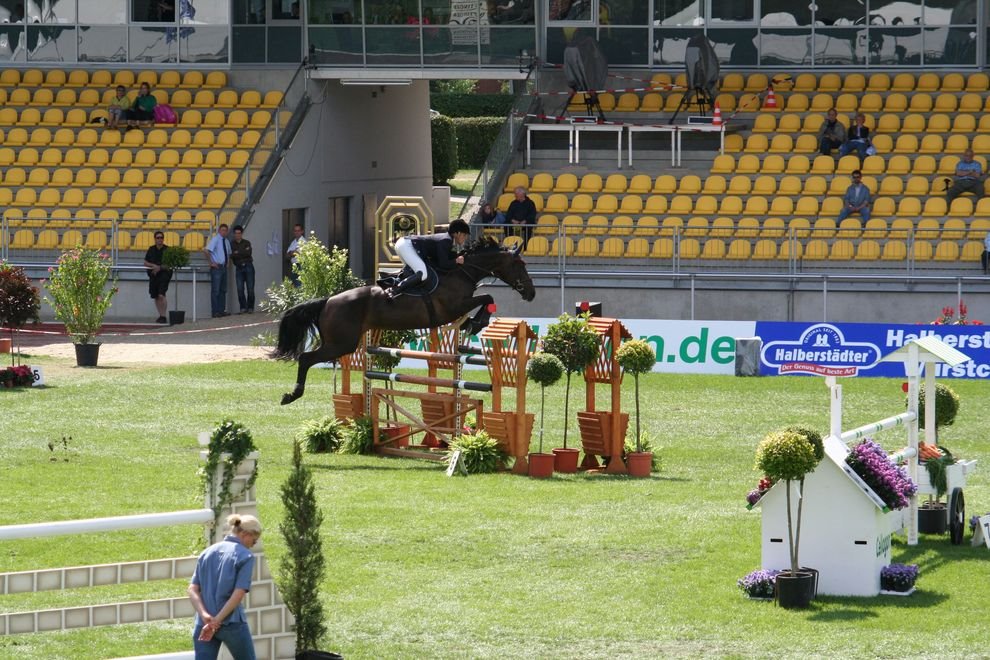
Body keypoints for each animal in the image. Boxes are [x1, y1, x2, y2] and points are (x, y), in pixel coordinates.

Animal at [272, 237, 536, 402]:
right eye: (520, 264)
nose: (531, 293)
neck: (461, 271)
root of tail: (327, 301)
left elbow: (485, 298)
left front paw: (473, 323)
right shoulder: (453, 307)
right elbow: (487, 296)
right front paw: (477, 323)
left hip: (341, 342)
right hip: (341, 343)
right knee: (306, 358)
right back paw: (291, 395)